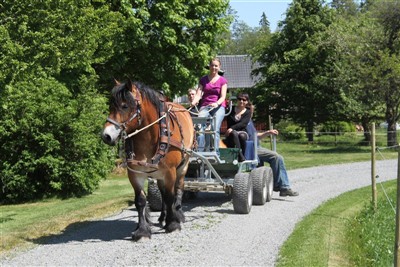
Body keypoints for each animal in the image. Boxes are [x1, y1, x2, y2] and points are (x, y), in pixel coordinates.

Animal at [101, 79, 193, 241]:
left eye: (125, 106)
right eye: (111, 106)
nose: (106, 136)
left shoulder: (170, 172)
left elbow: (170, 197)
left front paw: (172, 224)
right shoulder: (134, 173)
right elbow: (141, 200)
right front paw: (142, 230)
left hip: (183, 165)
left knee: (179, 188)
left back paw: (179, 215)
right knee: (162, 192)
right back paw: (162, 217)